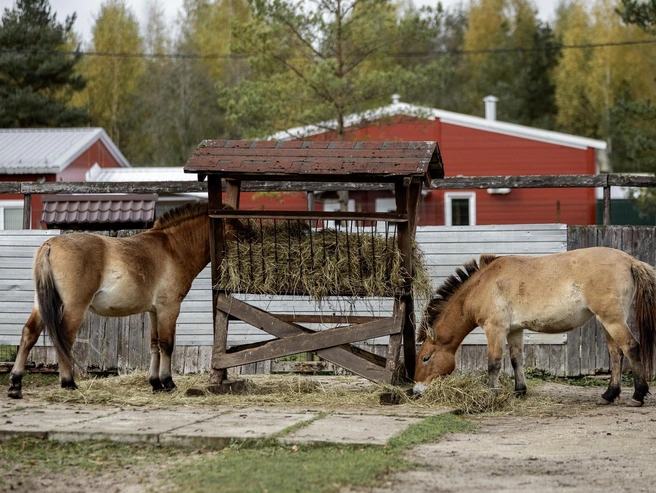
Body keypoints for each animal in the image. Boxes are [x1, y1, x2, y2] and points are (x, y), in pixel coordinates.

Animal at [8, 201, 212, 399]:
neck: (172, 248)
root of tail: (50, 243)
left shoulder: (154, 311)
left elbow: (154, 345)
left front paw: (156, 384)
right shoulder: (168, 308)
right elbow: (166, 345)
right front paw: (168, 382)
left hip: (42, 303)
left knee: (29, 333)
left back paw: (15, 384)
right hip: (75, 307)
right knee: (64, 338)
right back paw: (68, 383)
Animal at [413, 247, 656, 407]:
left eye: (425, 357)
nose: (415, 391)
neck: (484, 284)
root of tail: (629, 260)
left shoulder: (495, 329)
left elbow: (493, 363)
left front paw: (491, 395)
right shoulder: (514, 330)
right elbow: (515, 360)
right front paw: (519, 391)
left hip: (612, 320)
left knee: (631, 347)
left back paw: (637, 395)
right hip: (608, 321)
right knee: (616, 353)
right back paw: (609, 395)